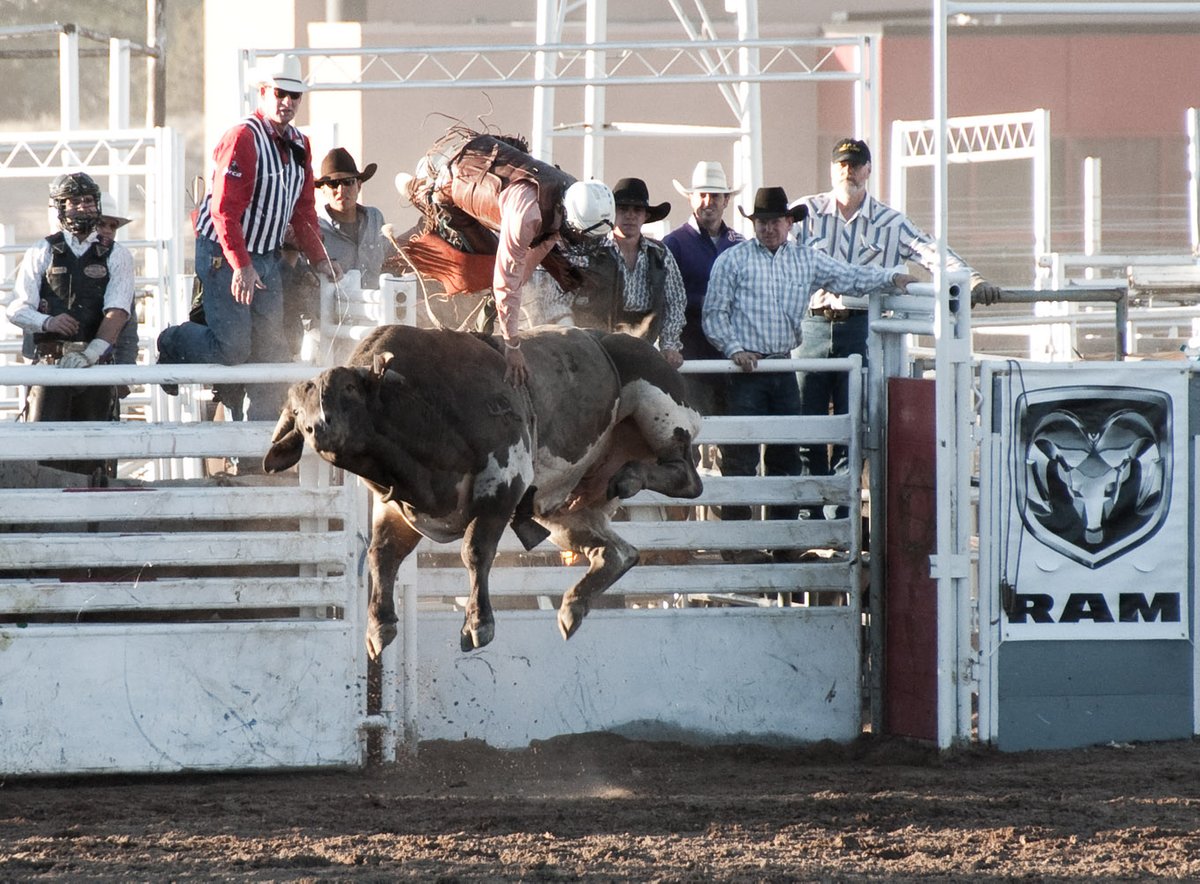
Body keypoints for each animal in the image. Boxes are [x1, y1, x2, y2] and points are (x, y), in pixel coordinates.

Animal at [258, 323, 700, 657]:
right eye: (297, 411)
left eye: (349, 390)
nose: (317, 427)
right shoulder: (396, 506)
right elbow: (382, 555)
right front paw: (379, 629)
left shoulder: (504, 480)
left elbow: (475, 552)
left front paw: (477, 625)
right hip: (561, 510)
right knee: (618, 553)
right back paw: (573, 608)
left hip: (661, 411)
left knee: (687, 478)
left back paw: (631, 477)